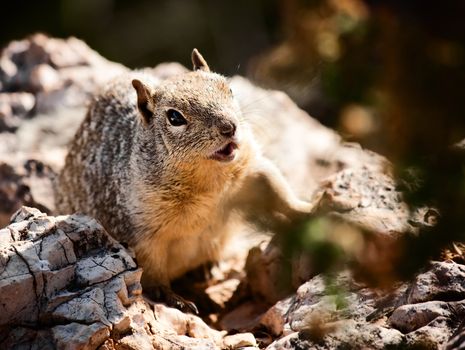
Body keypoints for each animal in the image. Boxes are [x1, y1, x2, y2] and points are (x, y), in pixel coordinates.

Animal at [55, 48, 316, 312]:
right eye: (174, 117)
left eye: (229, 89)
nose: (229, 127)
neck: (210, 182)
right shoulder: (144, 233)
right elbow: (153, 272)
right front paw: (175, 298)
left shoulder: (253, 171)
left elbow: (280, 193)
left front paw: (310, 208)